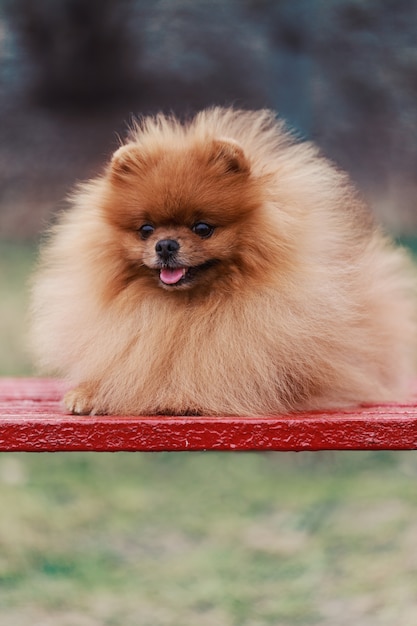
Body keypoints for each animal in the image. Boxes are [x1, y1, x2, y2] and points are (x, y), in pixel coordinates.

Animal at [30, 106, 416, 414]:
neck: (186, 311)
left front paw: (180, 396)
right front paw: (88, 393)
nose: (165, 245)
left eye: (203, 228)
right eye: (145, 230)